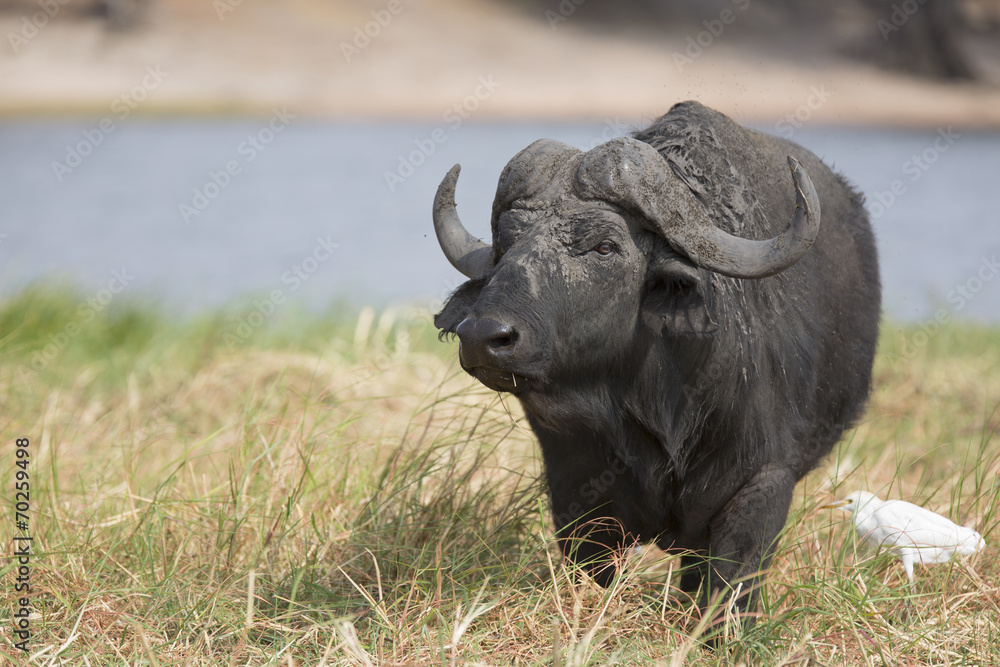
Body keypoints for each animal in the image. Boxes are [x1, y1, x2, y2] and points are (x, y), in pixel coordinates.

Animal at [431, 101, 881, 625]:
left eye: (605, 246)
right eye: (505, 244)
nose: (483, 337)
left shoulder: (762, 482)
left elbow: (731, 586)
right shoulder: (573, 483)